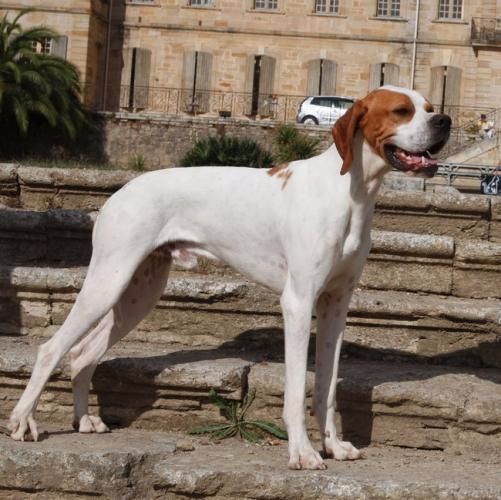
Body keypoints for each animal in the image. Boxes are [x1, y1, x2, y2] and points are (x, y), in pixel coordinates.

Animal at [9, 86, 452, 468]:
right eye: (401, 111)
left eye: (430, 107)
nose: (445, 120)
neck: (350, 192)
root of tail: (120, 192)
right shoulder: (298, 302)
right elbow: (296, 392)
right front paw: (303, 453)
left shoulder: (335, 306)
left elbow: (326, 388)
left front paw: (334, 445)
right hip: (108, 282)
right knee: (51, 350)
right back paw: (23, 421)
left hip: (139, 294)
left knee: (83, 353)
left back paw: (83, 420)